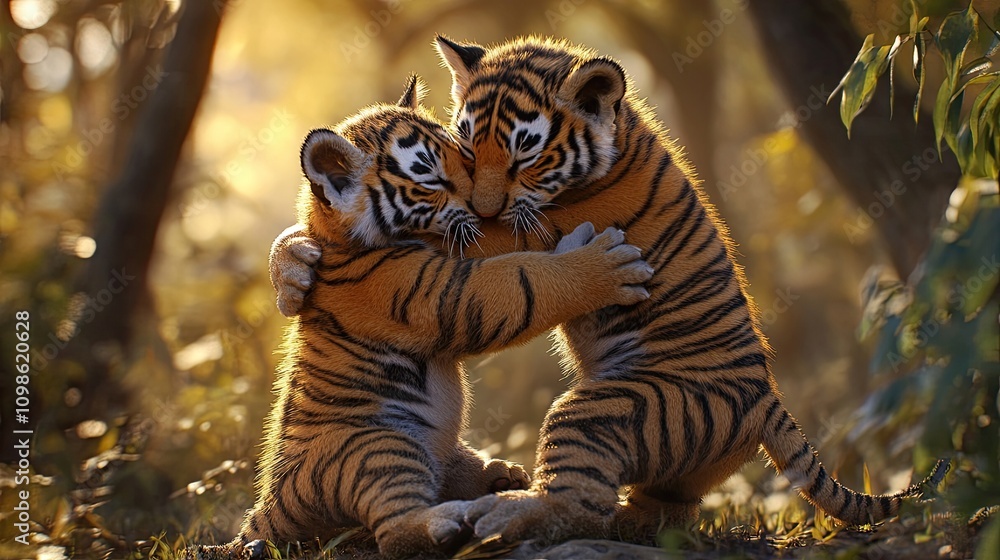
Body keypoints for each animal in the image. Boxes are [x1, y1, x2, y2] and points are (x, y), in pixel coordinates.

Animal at [191, 75, 655, 560]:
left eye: (464, 157)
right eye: (432, 179)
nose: (484, 207)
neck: (342, 240)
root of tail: (266, 505)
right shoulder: (437, 291)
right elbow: (524, 278)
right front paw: (606, 266)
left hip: (443, 448)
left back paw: (501, 476)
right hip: (375, 447)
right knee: (394, 531)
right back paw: (449, 524)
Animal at [270, 37, 947, 547]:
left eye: (524, 155)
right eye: (467, 145)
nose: (479, 205)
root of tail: (765, 398)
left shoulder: (529, 224)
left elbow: (492, 257)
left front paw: (301, 252)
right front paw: (295, 258)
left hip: (615, 408)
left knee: (580, 503)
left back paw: (507, 511)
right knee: (652, 509)